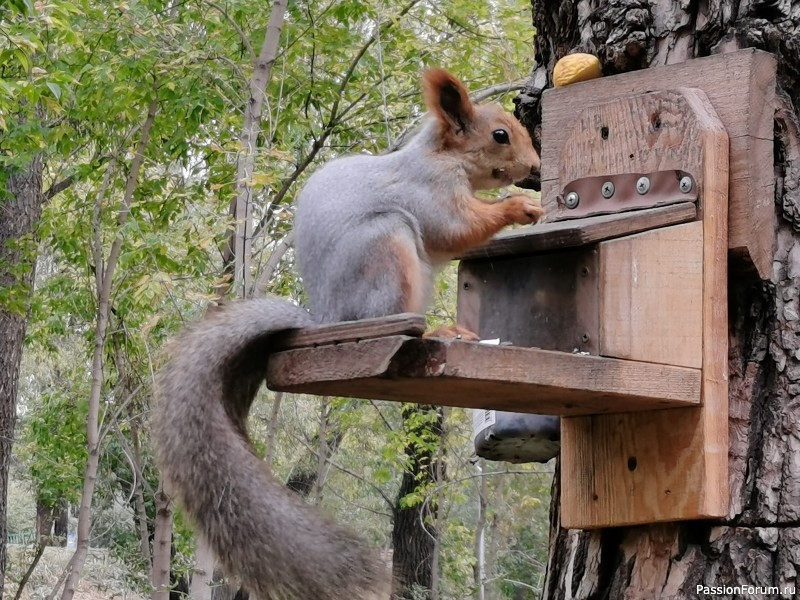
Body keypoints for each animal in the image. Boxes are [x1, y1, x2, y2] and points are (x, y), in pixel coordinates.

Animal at [155, 67, 544, 600]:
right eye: (500, 135)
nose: (535, 166)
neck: (443, 158)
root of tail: (327, 319)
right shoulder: (430, 193)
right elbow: (454, 229)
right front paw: (519, 206)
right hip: (386, 247)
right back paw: (440, 329)